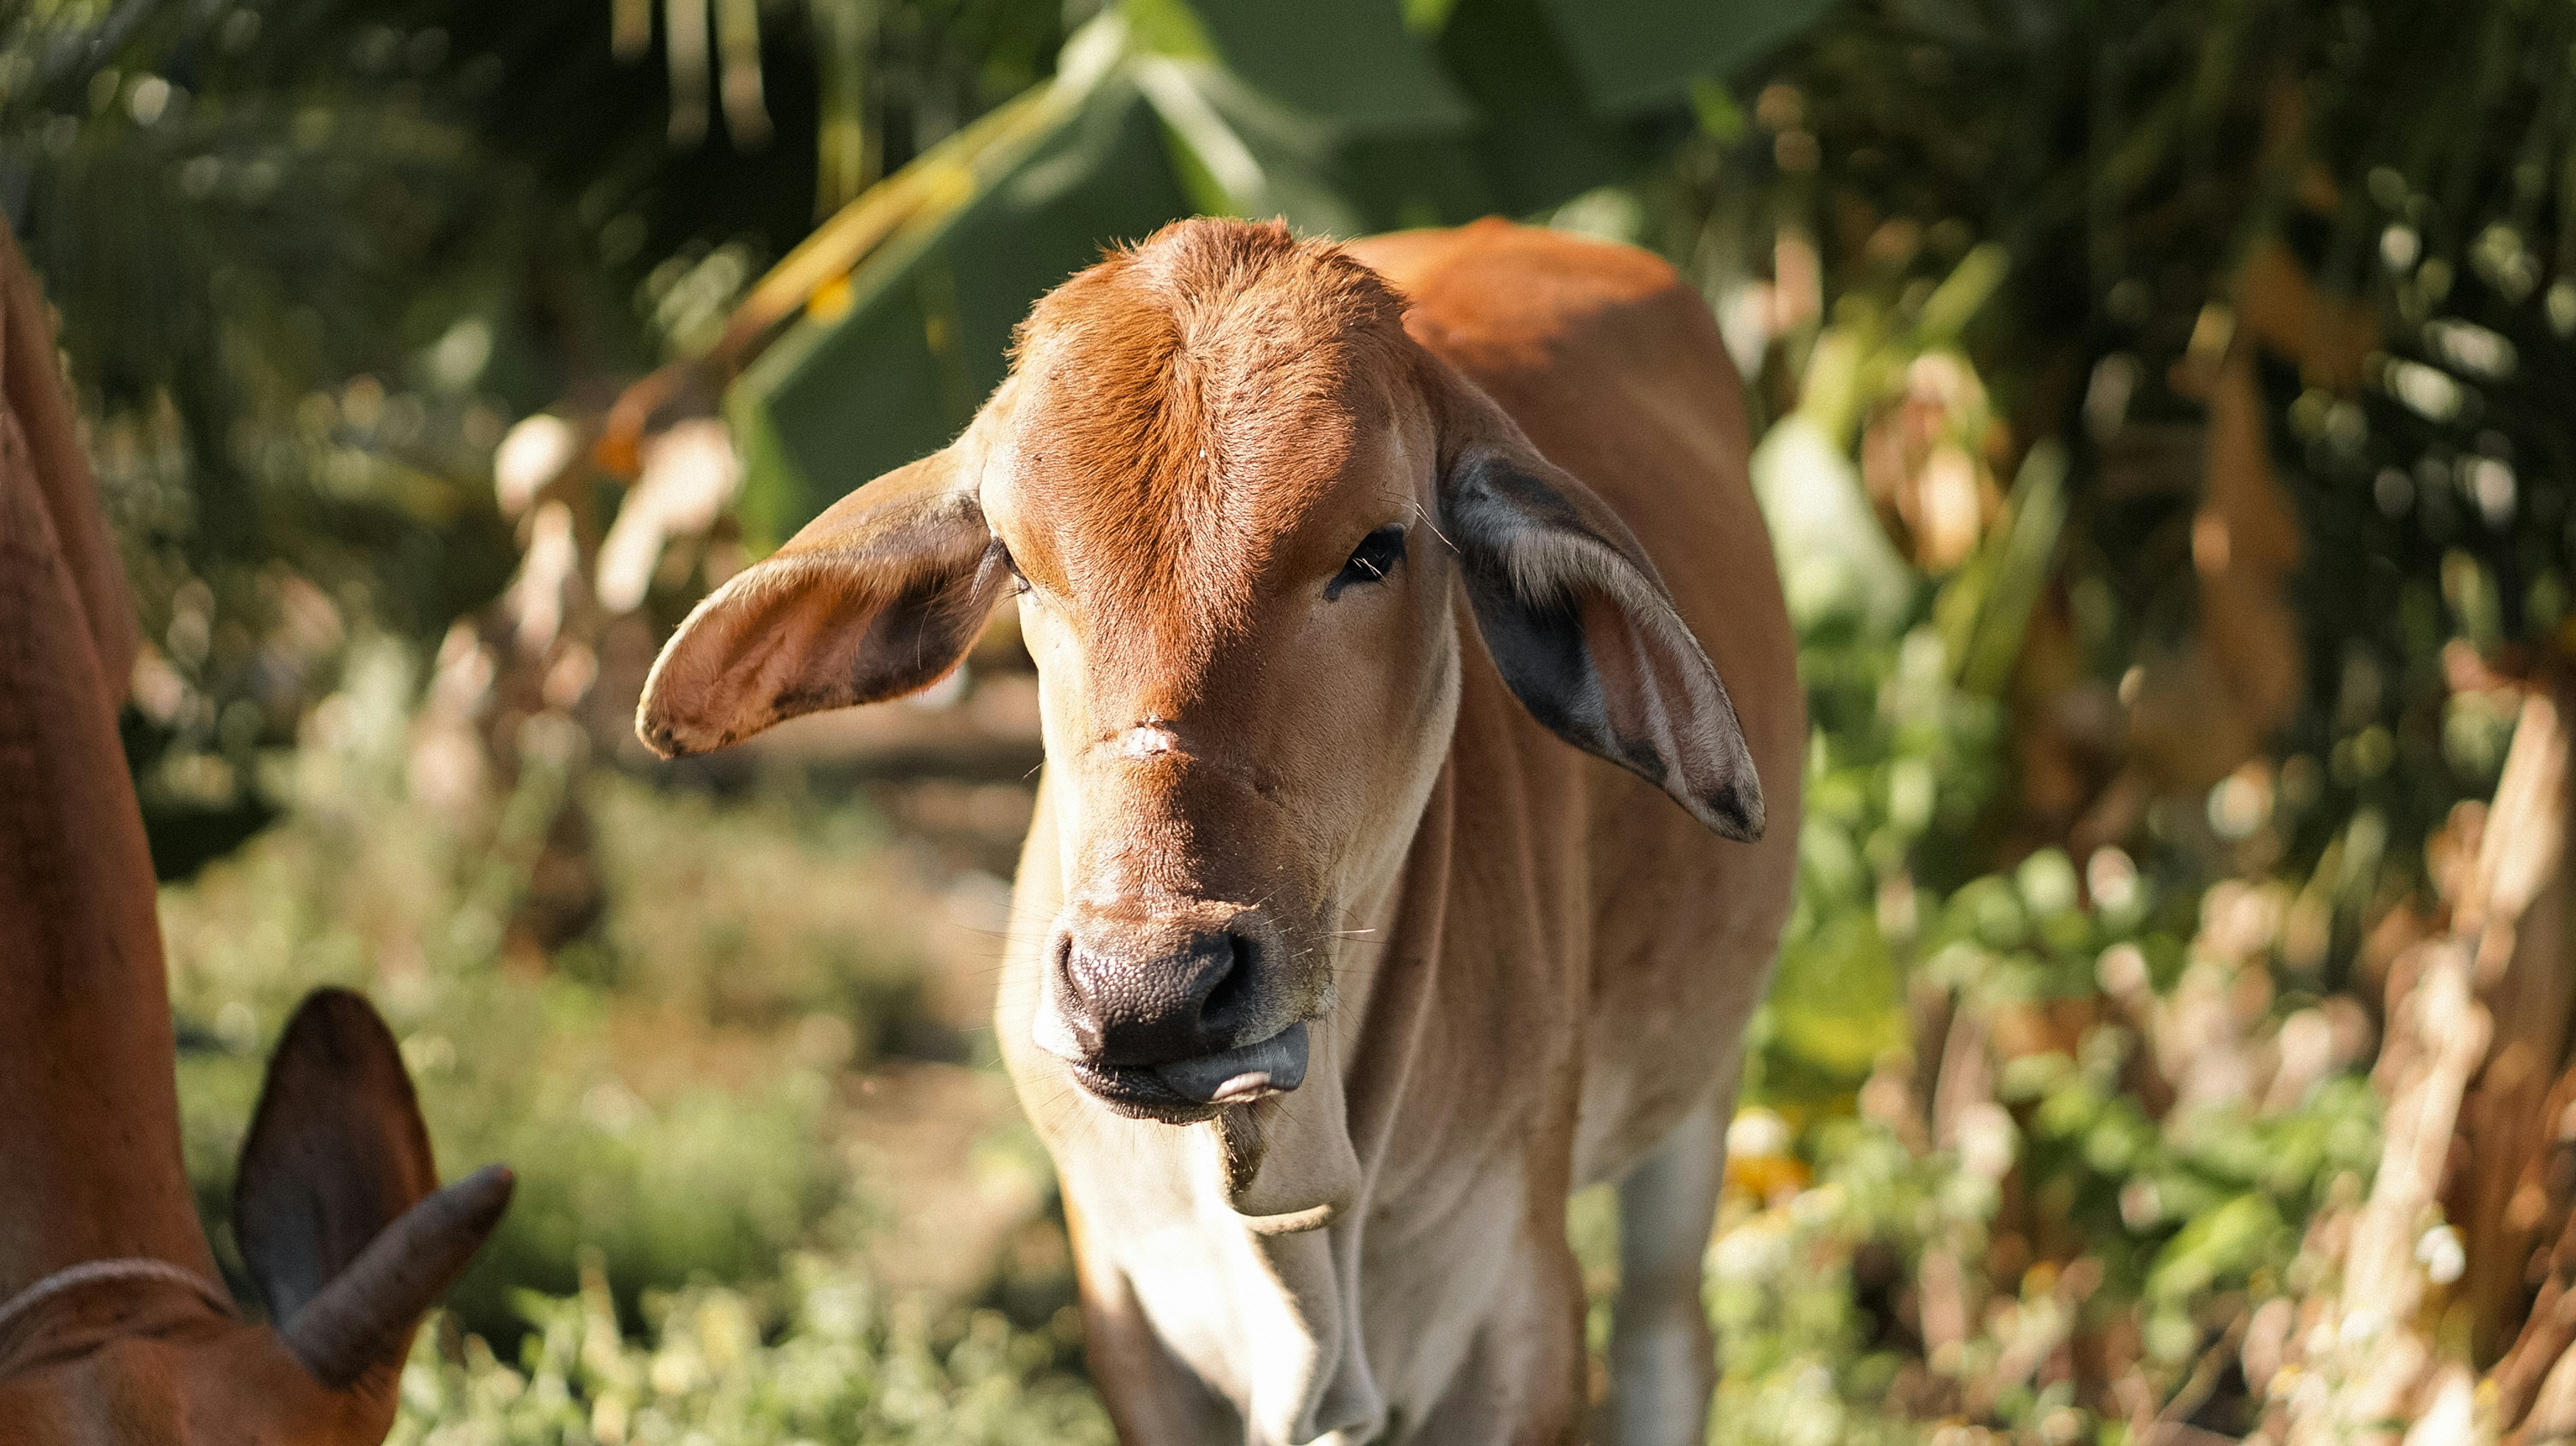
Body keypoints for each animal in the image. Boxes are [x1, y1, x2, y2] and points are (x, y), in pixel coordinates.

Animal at [640, 217, 1801, 1444]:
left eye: (1377, 549)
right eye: (1017, 563)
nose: (1145, 990)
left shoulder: (1517, 1315)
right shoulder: (1130, 1314)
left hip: (1700, 1098)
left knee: (1666, 1344)